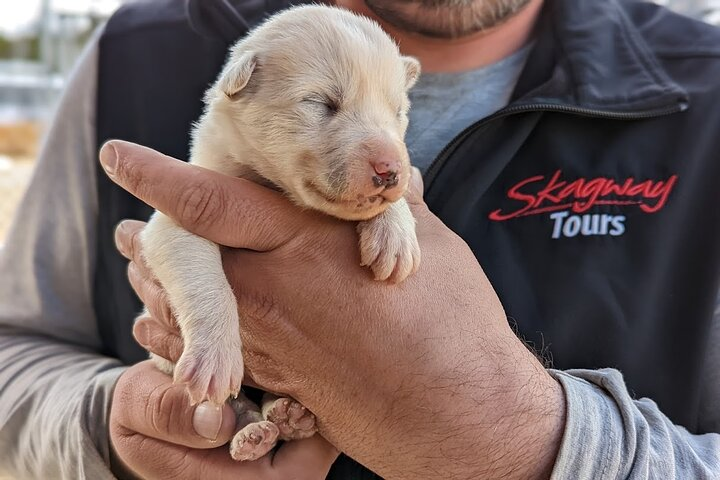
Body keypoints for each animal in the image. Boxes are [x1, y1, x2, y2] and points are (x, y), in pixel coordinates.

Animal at [143, 3, 420, 462]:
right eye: (321, 103)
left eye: (398, 112)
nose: (389, 170)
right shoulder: (174, 215)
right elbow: (203, 277)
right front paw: (215, 358)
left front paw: (395, 236)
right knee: (240, 403)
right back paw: (251, 433)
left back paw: (288, 416)